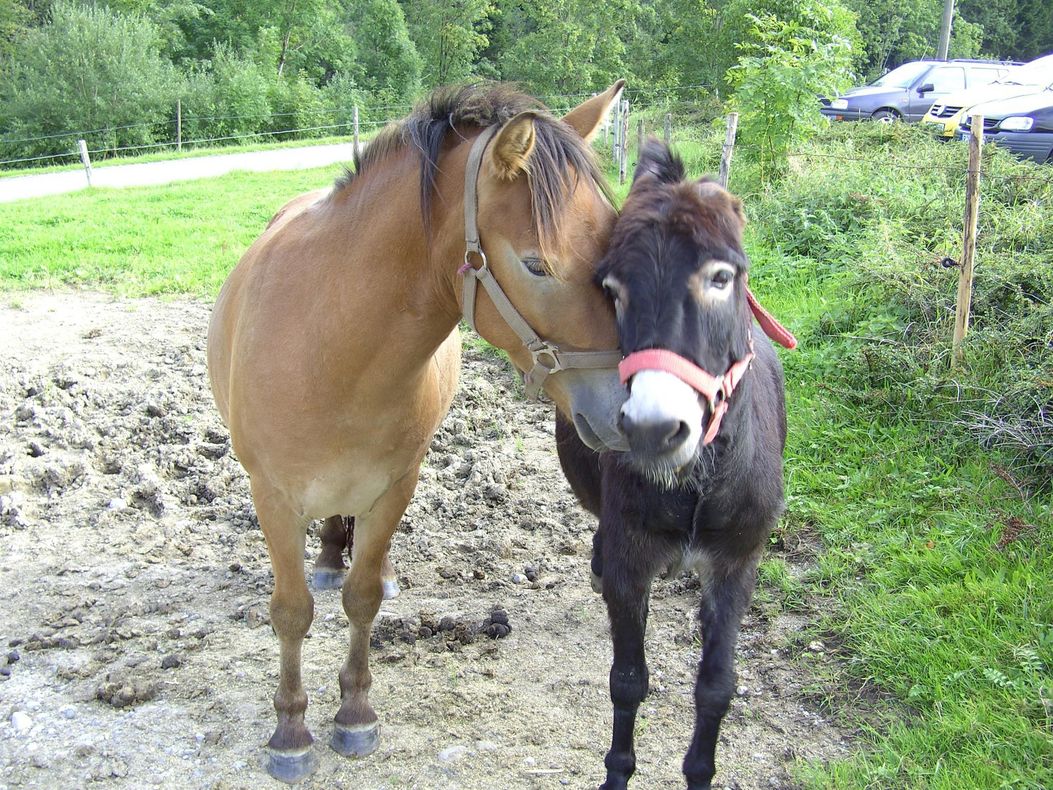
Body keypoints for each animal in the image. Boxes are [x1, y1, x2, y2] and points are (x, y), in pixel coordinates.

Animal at [206, 81, 629, 783]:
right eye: (537, 265)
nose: (626, 405)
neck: (336, 345)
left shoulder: (395, 486)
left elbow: (362, 599)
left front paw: (354, 713)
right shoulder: (272, 497)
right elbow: (291, 613)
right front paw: (290, 732)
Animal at [556, 140, 797, 790]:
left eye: (721, 277)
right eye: (612, 289)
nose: (651, 430)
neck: (697, 482)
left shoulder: (736, 566)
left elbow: (716, 688)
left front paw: (700, 772)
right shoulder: (631, 561)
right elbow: (627, 682)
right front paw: (617, 774)